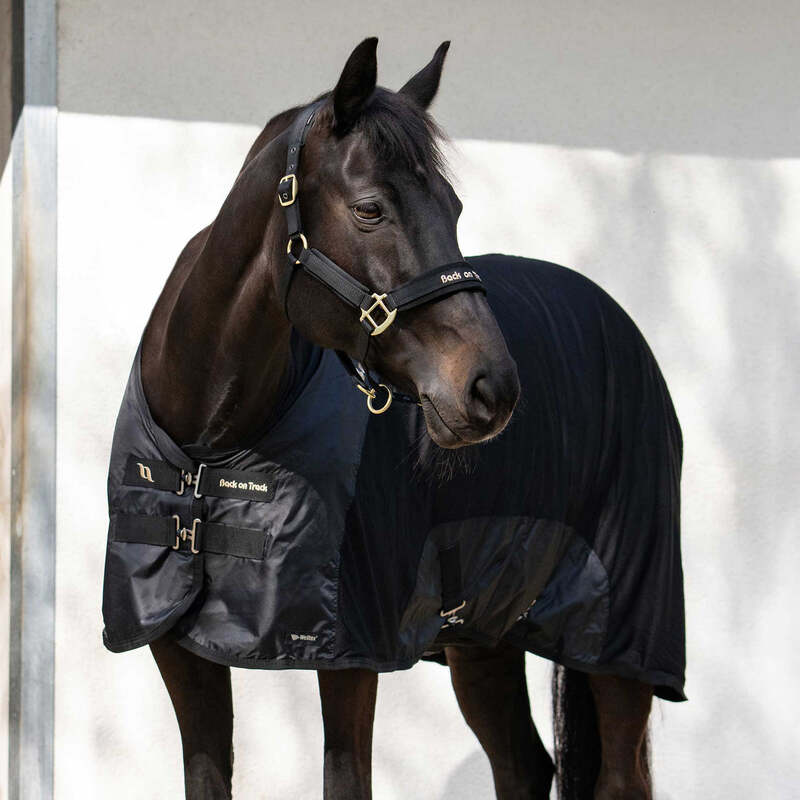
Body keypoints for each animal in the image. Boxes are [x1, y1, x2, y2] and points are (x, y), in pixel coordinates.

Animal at [102, 38, 685, 799]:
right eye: (371, 209)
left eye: (454, 207)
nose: (492, 388)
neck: (213, 442)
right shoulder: (177, 650)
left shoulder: (350, 657)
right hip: (483, 639)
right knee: (523, 765)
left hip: (619, 644)